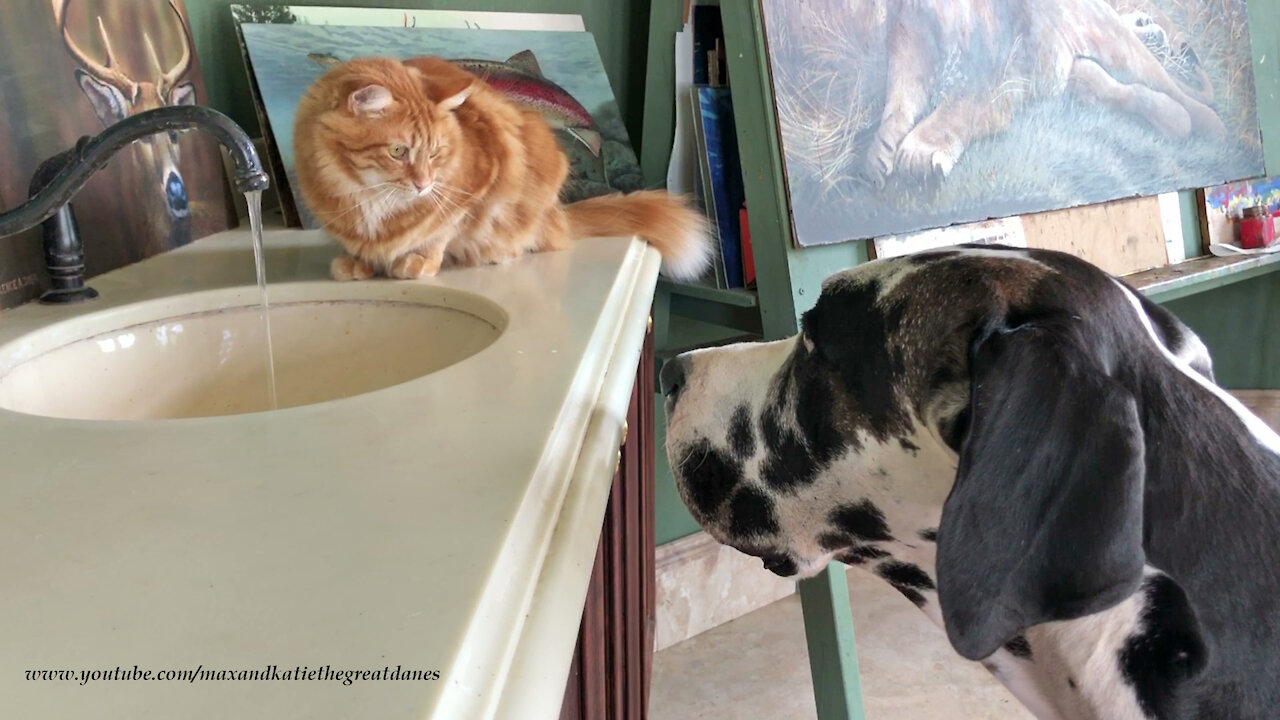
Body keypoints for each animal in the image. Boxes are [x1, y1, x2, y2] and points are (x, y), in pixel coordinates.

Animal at [293, 55, 716, 280]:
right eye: (398, 151)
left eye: (436, 153)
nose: (424, 185)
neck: (367, 191)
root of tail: (559, 216)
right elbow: (363, 242)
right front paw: (358, 262)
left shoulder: (474, 189)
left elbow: (440, 229)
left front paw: (418, 261)